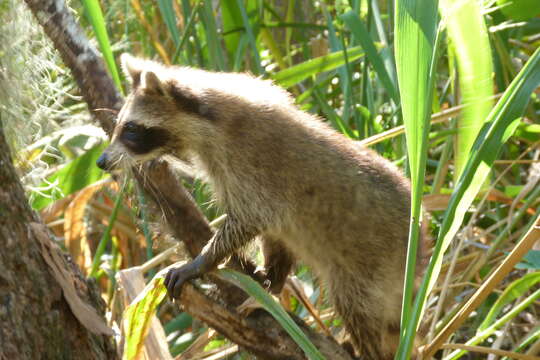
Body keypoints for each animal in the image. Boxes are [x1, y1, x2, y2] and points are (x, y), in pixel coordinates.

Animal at [96, 54, 426, 360]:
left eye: (131, 130)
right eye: (120, 126)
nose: (101, 162)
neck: (208, 118)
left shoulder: (250, 163)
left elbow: (248, 218)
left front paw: (203, 260)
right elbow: (270, 228)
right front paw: (267, 276)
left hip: (371, 266)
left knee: (359, 308)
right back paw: (275, 281)